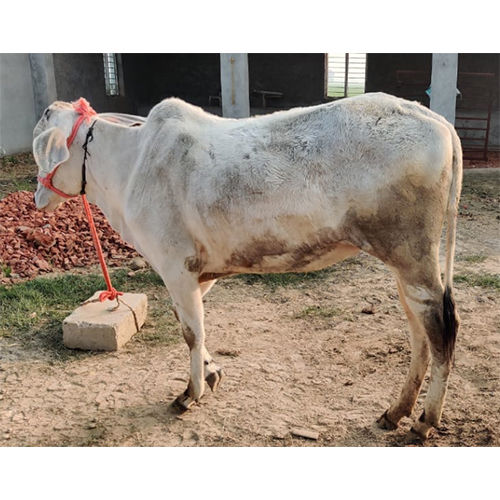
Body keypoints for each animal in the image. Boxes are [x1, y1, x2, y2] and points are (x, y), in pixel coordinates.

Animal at [32, 92, 460, 440]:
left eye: (40, 149)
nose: (37, 198)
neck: (131, 164)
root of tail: (434, 118)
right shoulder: (197, 273)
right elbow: (192, 325)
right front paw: (211, 373)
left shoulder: (175, 267)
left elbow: (191, 332)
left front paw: (190, 392)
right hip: (404, 265)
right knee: (418, 333)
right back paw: (396, 411)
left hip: (414, 257)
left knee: (442, 329)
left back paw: (425, 420)